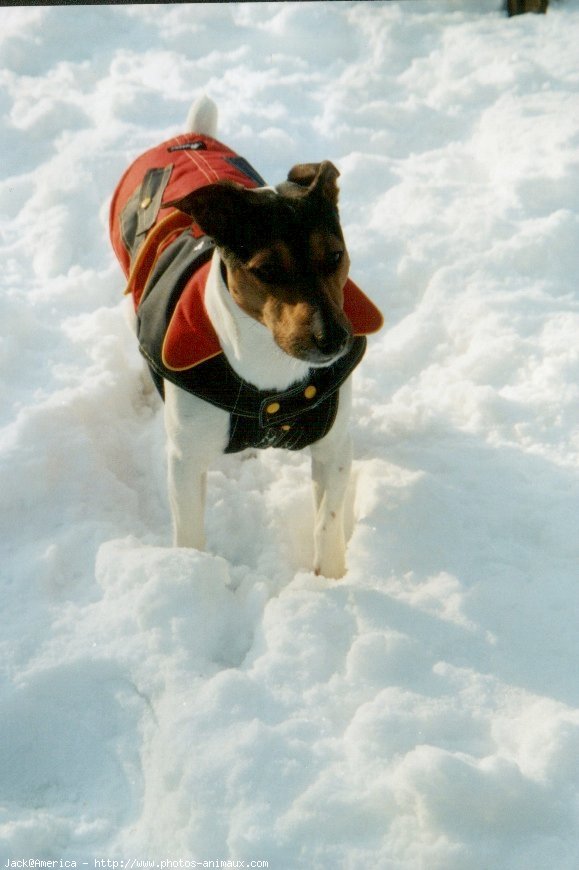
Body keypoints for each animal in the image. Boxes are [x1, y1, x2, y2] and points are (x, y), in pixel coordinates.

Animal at [109, 97, 382, 580]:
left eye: (335, 256)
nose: (333, 340)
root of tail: (188, 137)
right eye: (267, 270)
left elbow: (327, 523)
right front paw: (190, 577)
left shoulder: (333, 445)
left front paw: (331, 582)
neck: (269, 374)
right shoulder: (184, 461)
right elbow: (190, 534)